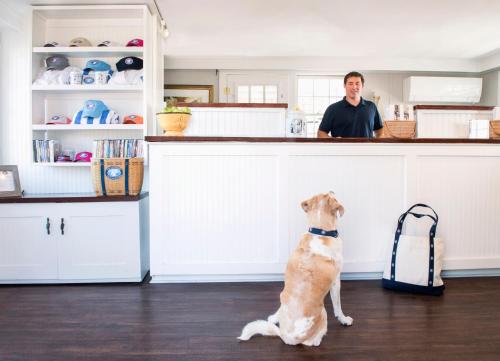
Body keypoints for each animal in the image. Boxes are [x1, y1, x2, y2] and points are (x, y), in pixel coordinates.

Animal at [237, 191, 352, 346]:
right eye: (329, 195)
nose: (332, 190)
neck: (319, 232)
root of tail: (285, 336)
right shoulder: (336, 282)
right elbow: (338, 306)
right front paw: (344, 320)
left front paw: (273, 317)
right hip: (323, 313)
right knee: (313, 342)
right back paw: (319, 339)